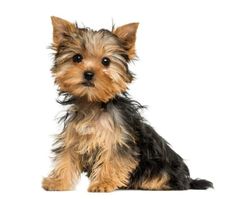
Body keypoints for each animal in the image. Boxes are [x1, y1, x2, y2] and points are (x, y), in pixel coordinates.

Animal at [42, 16, 214, 191]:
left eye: (106, 61)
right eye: (77, 58)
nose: (89, 74)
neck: (93, 103)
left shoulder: (118, 140)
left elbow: (112, 160)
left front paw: (103, 183)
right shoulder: (73, 136)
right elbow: (66, 157)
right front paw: (57, 182)